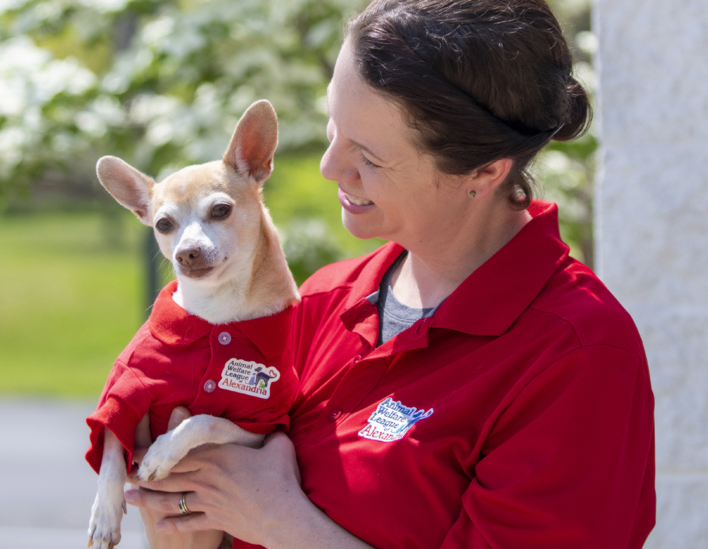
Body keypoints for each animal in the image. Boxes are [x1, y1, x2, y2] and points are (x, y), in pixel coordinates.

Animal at [85, 99, 298, 548]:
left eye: (221, 210)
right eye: (163, 225)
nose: (187, 253)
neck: (215, 310)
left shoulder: (256, 428)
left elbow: (205, 420)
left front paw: (164, 452)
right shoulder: (123, 391)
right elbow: (111, 445)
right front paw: (105, 512)